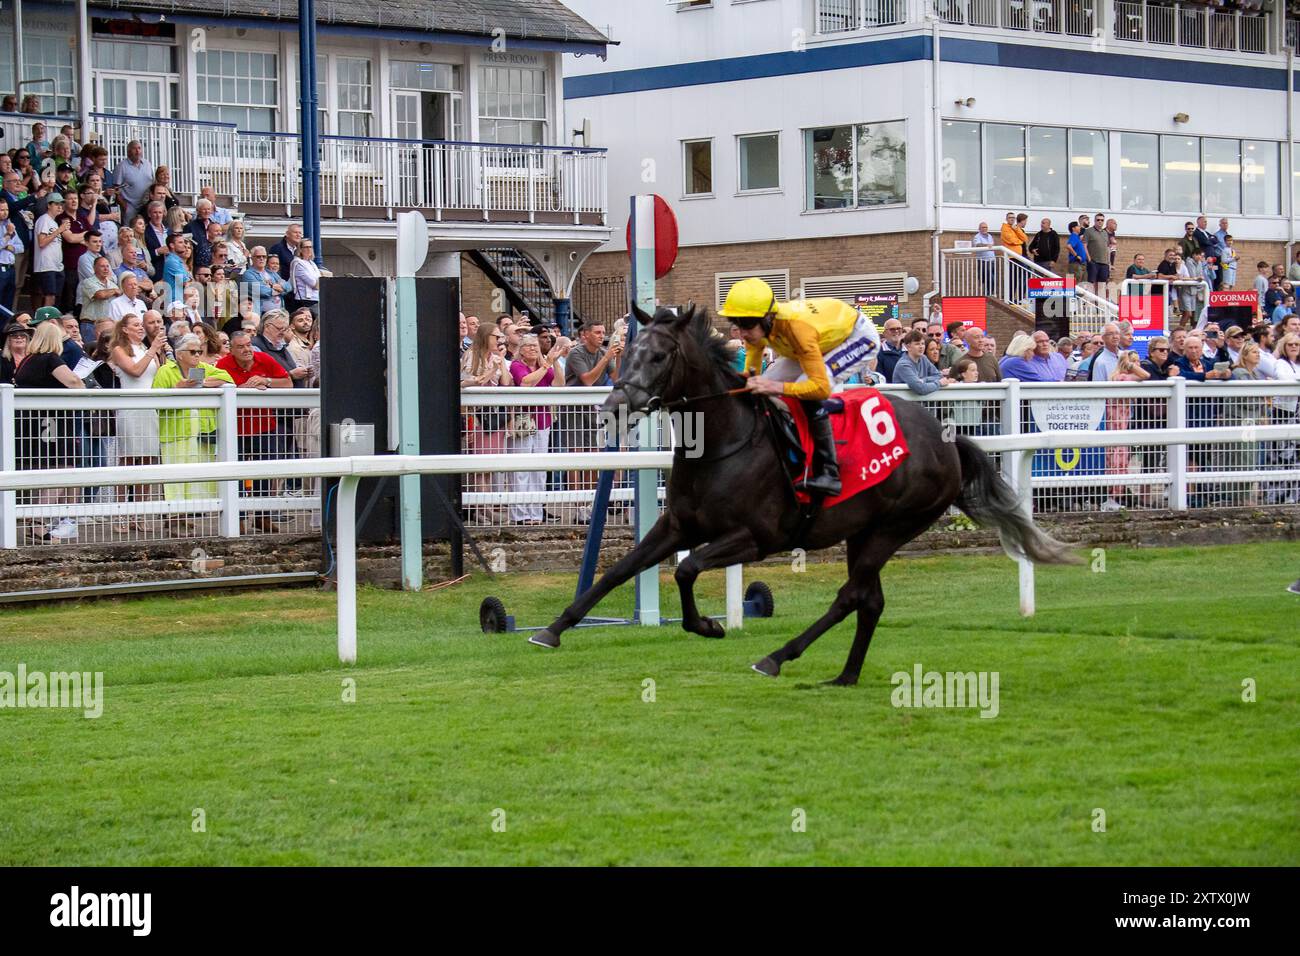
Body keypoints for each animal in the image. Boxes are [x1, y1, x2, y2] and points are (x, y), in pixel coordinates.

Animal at [522, 303, 1071, 686]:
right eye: (625, 353)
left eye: (658, 355)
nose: (612, 406)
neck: (723, 441)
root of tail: (948, 438)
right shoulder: (677, 525)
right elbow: (620, 569)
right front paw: (553, 629)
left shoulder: (757, 537)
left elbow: (686, 569)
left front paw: (708, 626)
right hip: (864, 531)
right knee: (870, 600)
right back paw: (844, 675)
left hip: (894, 526)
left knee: (851, 596)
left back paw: (777, 657)